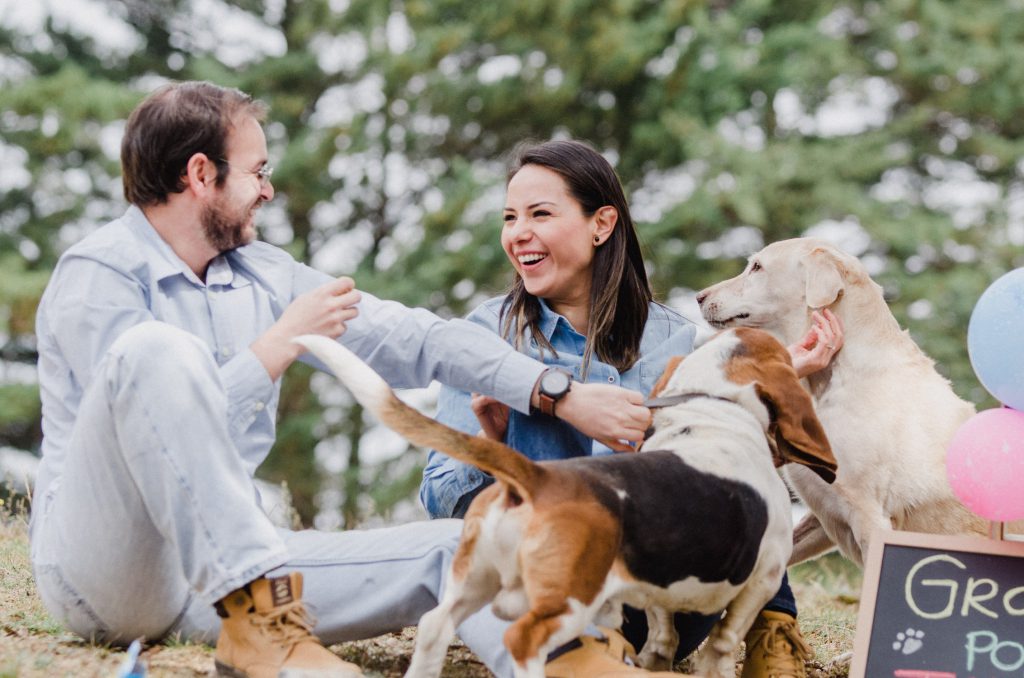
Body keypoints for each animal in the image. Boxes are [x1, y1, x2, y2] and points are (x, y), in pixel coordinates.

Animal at [292, 329, 835, 678]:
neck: (712, 407)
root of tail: (536, 479)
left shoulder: (656, 585)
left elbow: (662, 632)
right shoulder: (763, 576)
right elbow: (722, 643)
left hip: (475, 581)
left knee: (432, 626)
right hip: (568, 600)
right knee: (521, 643)